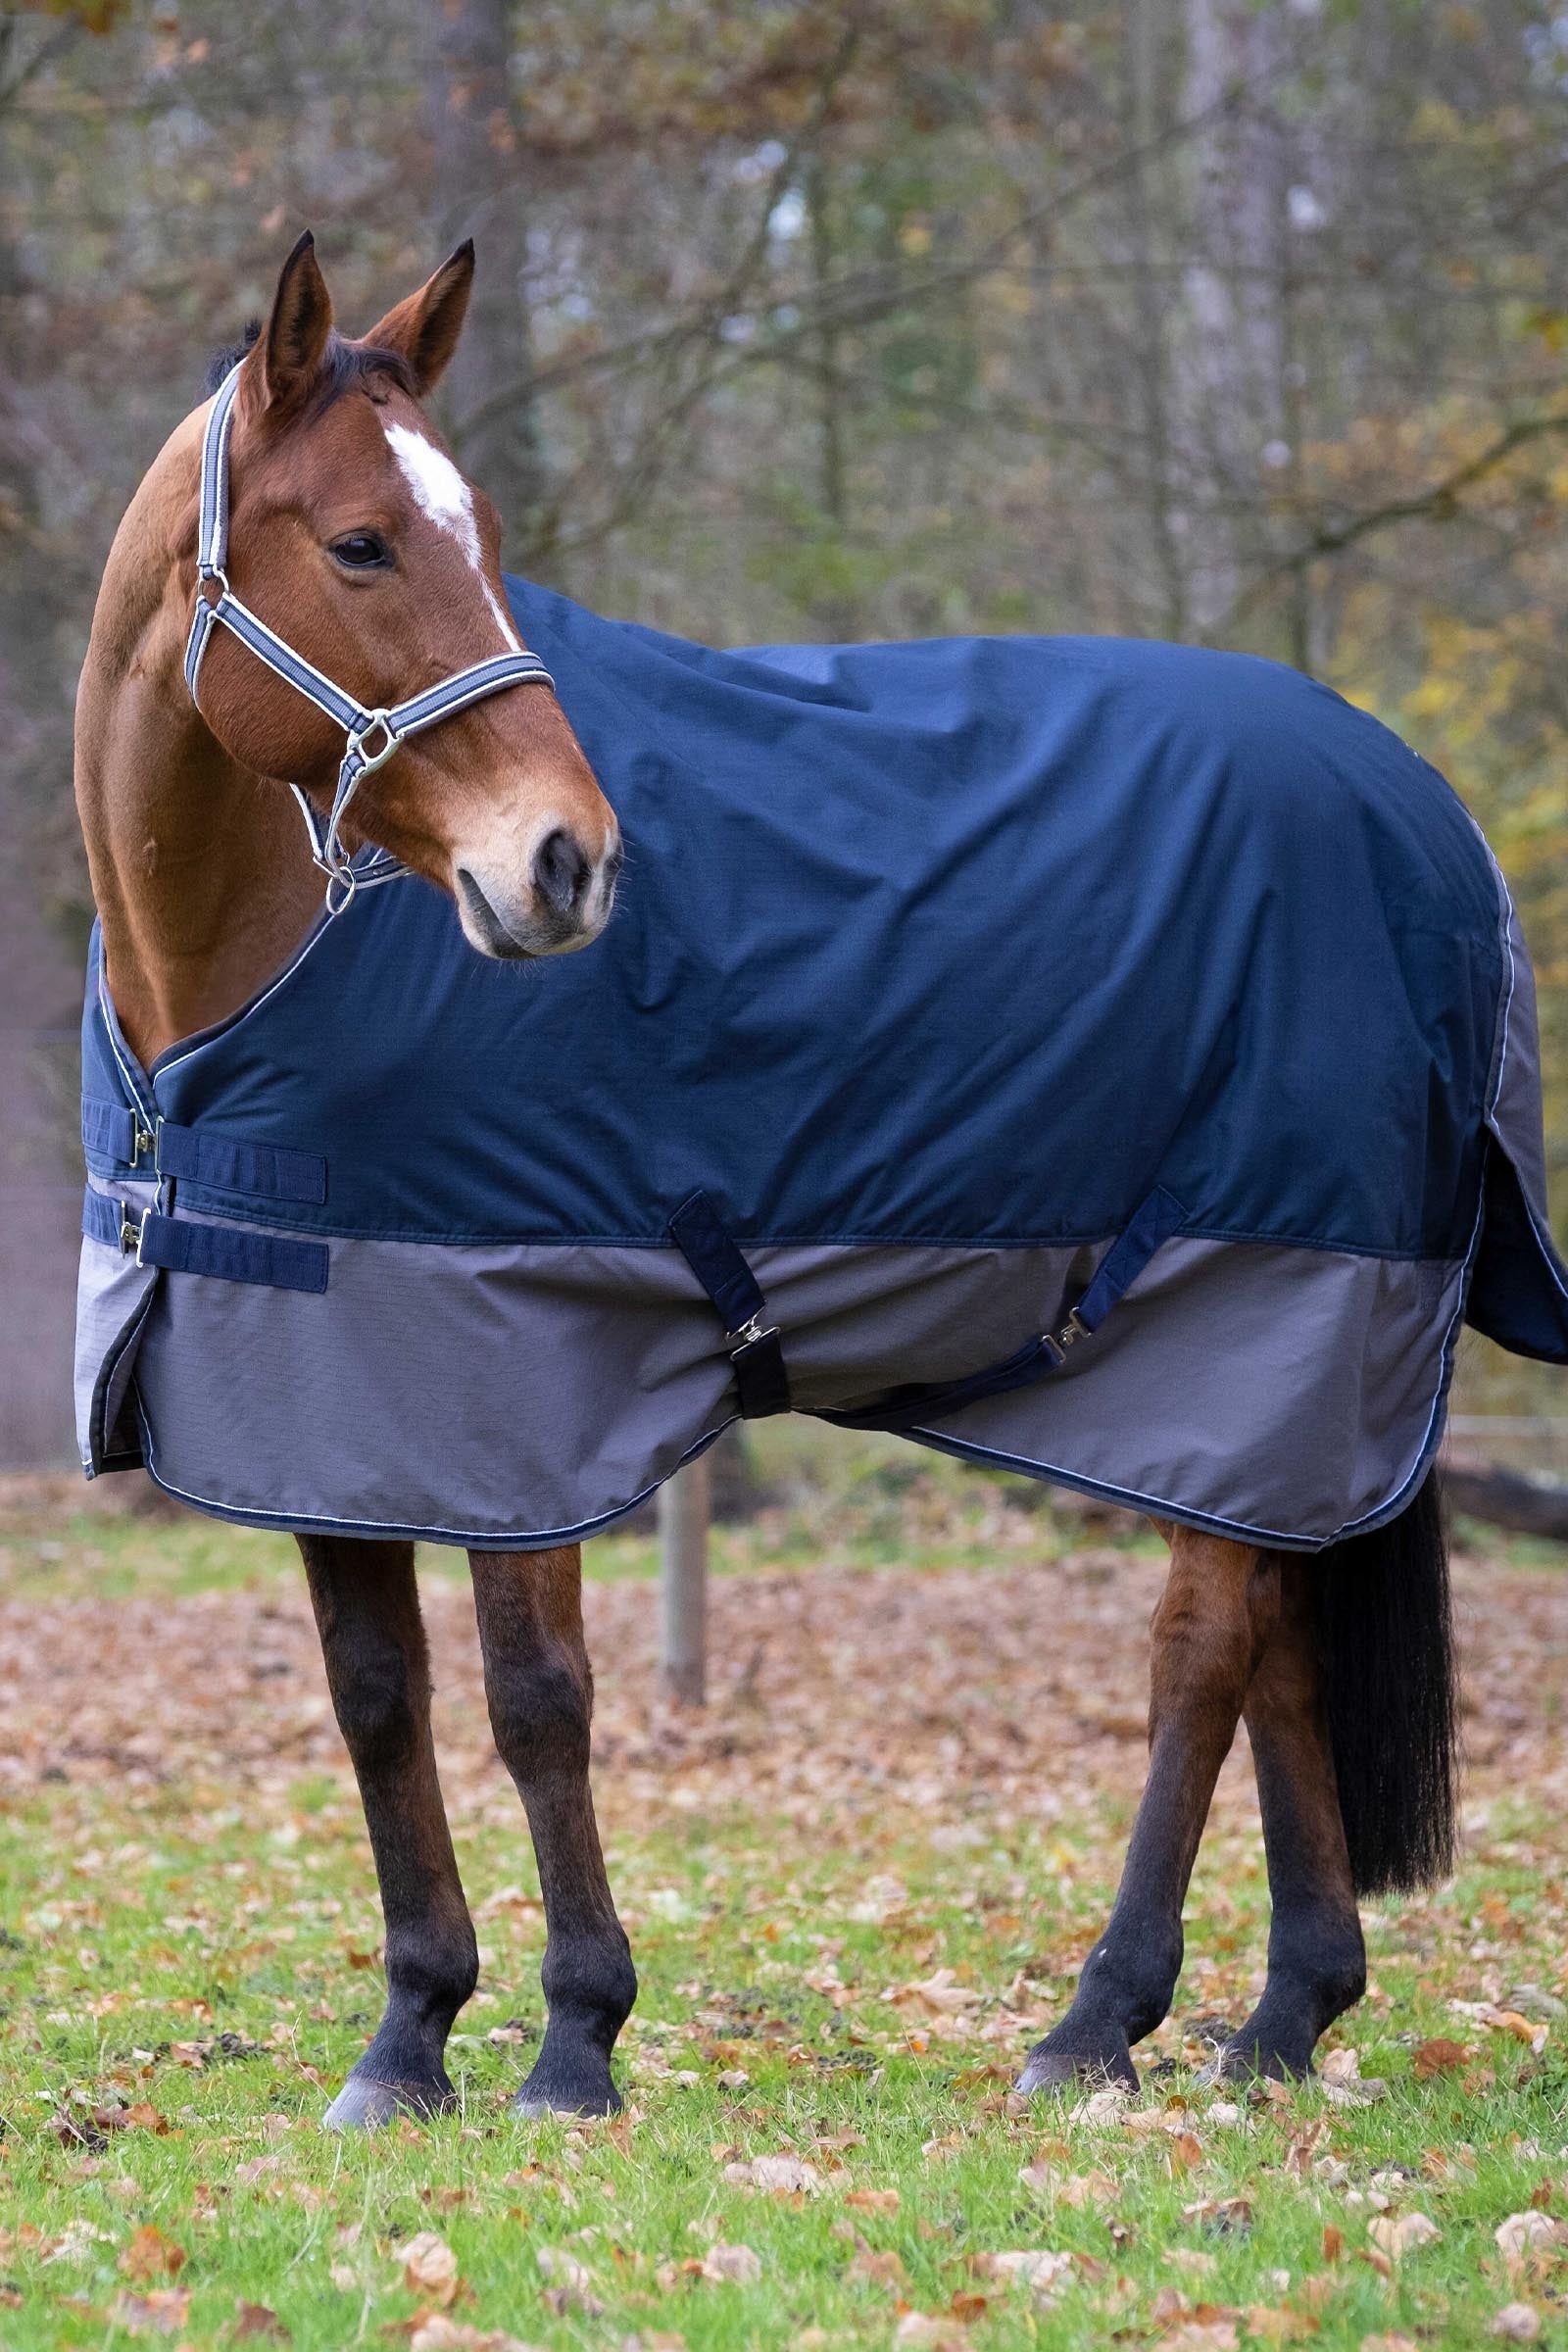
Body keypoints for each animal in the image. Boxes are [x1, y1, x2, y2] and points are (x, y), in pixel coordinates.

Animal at [75, 231, 1552, 2129]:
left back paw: (1098, 2024)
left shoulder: (519, 1391)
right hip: (1274, 1383)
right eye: (358, 543)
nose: (568, 863)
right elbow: (377, 1700)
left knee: (1201, 1660)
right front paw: (407, 2042)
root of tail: (1429, 822)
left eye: (483, 536)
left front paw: (574, 2039)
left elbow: (534, 1699)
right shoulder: (327, 1388)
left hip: (1256, 1318)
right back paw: (1283, 2019)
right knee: (1283, 1638)